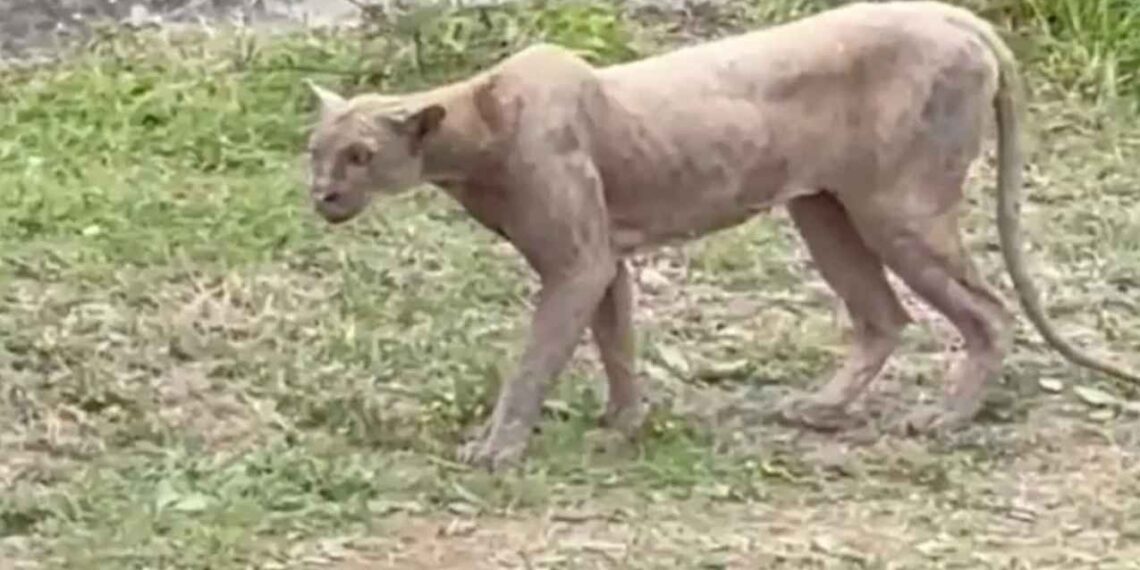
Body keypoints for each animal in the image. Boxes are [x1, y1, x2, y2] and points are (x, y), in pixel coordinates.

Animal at [303, 0, 1139, 470]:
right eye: (315, 149)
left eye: (361, 155)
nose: (322, 194)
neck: (474, 134)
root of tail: (959, 15)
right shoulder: (606, 261)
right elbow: (617, 344)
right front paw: (625, 424)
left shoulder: (578, 261)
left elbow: (535, 362)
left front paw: (498, 450)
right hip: (825, 209)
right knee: (885, 317)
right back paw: (821, 408)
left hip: (897, 209)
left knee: (986, 312)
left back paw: (944, 418)